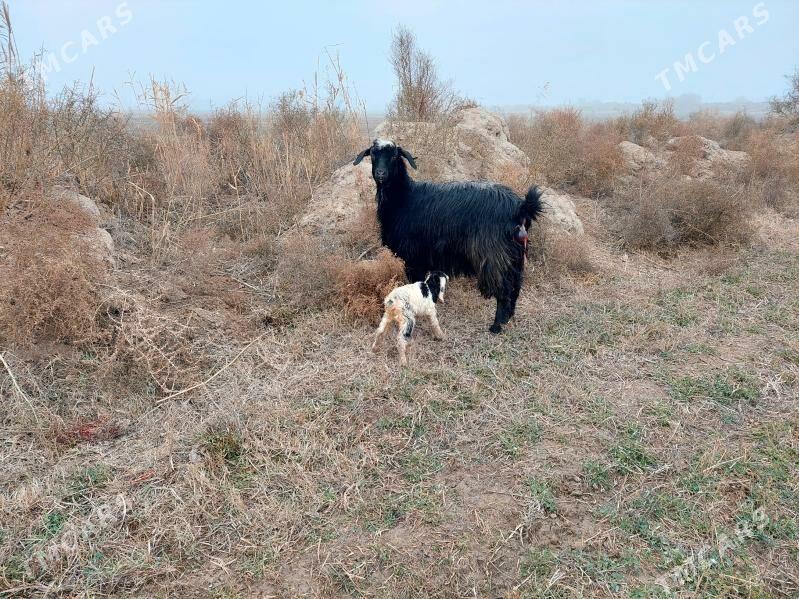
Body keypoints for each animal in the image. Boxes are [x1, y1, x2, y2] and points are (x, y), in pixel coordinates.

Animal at [354, 138, 542, 333]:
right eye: (373, 154)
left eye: (394, 156)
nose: (380, 173)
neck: (405, 198)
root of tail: (520, 207)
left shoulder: (414, 256)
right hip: (515, 255)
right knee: (515, 286)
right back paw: (508, 318)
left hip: (494, 255)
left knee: (504, 289)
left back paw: (496, 326)